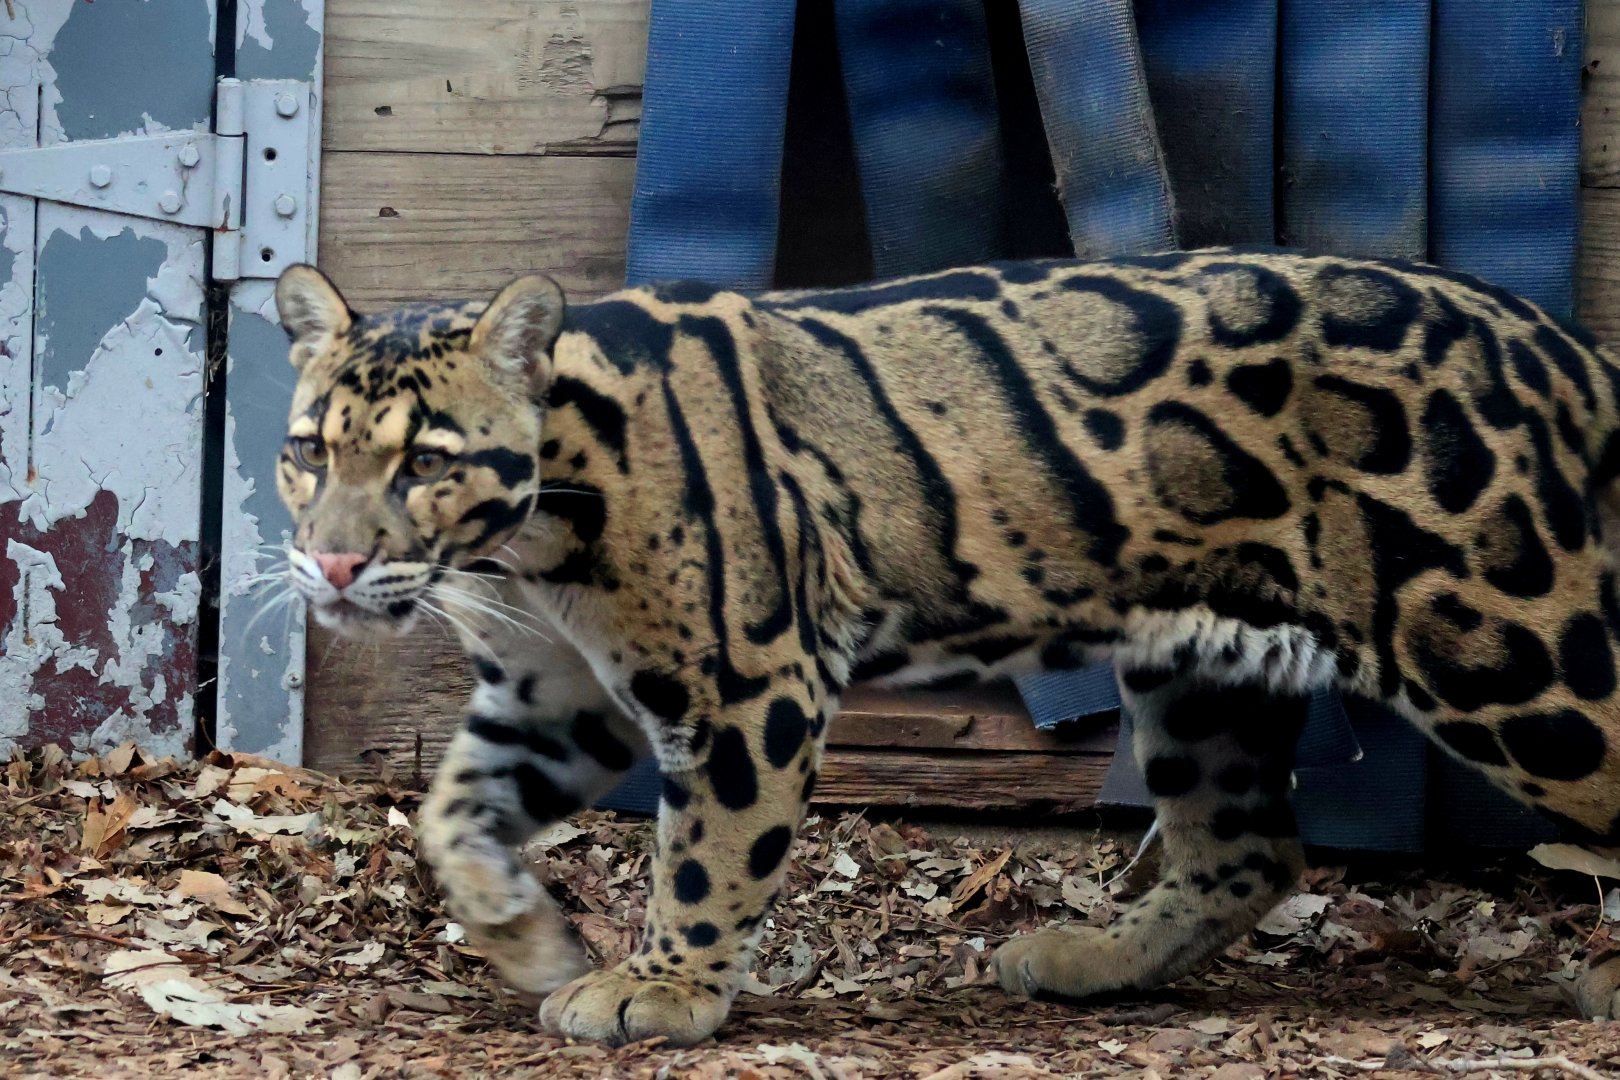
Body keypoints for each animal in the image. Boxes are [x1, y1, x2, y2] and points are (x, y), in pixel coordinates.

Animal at [273, 246, 1620, 1047]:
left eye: (426, 462)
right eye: (306, 452)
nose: (329, 566)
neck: (539, 539)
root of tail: (1565, 346)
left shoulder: (748, 681)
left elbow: (708, 853)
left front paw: (665, 986)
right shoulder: (559, 695)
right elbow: (450, 812)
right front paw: (522, 930)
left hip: (1510, 649)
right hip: (1203, 672)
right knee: (1247, 849)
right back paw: (1094, 957)